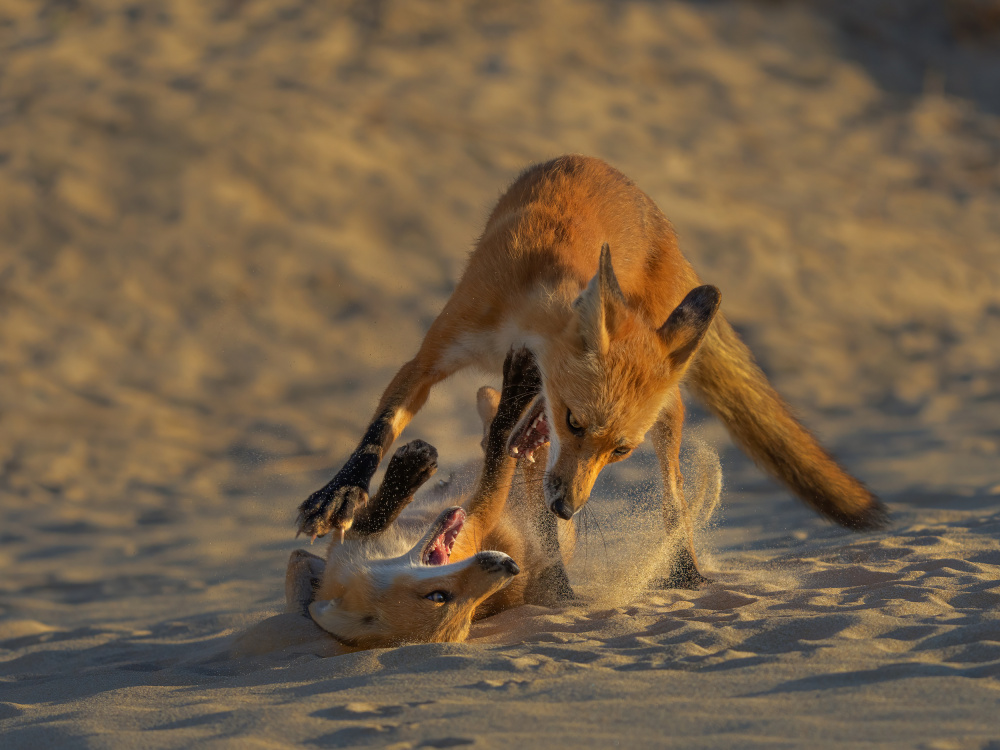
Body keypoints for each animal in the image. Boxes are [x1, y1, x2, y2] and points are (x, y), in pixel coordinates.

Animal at [300, 154, 888, 588]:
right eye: (574, 423)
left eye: (620, 452)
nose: (565, 508)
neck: (530, 301)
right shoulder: (432, 356)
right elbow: (379, 432)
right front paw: (338, 495)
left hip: (668, 402)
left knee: (673, 486)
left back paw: (682, 564)